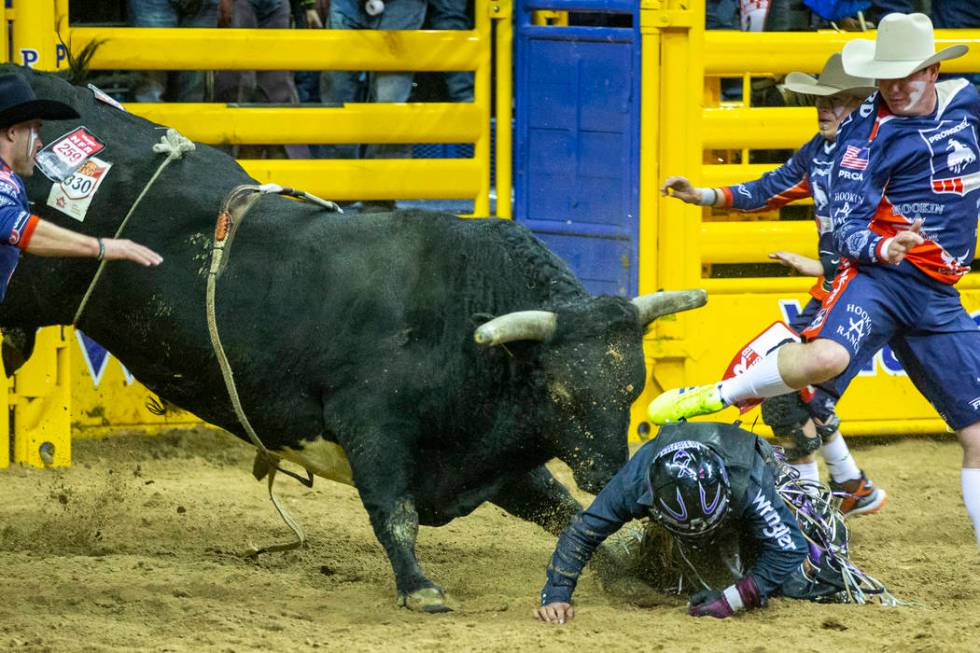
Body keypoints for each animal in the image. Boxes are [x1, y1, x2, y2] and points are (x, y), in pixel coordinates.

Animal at [0, 66, 704, 612]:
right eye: (559, 391)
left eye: (632, 388)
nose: (609, 466)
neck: (464, 322)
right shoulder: (371, 424)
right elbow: (394, 510)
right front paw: (419, 587)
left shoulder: (486, 453)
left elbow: (554, 504)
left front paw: (634, 568)